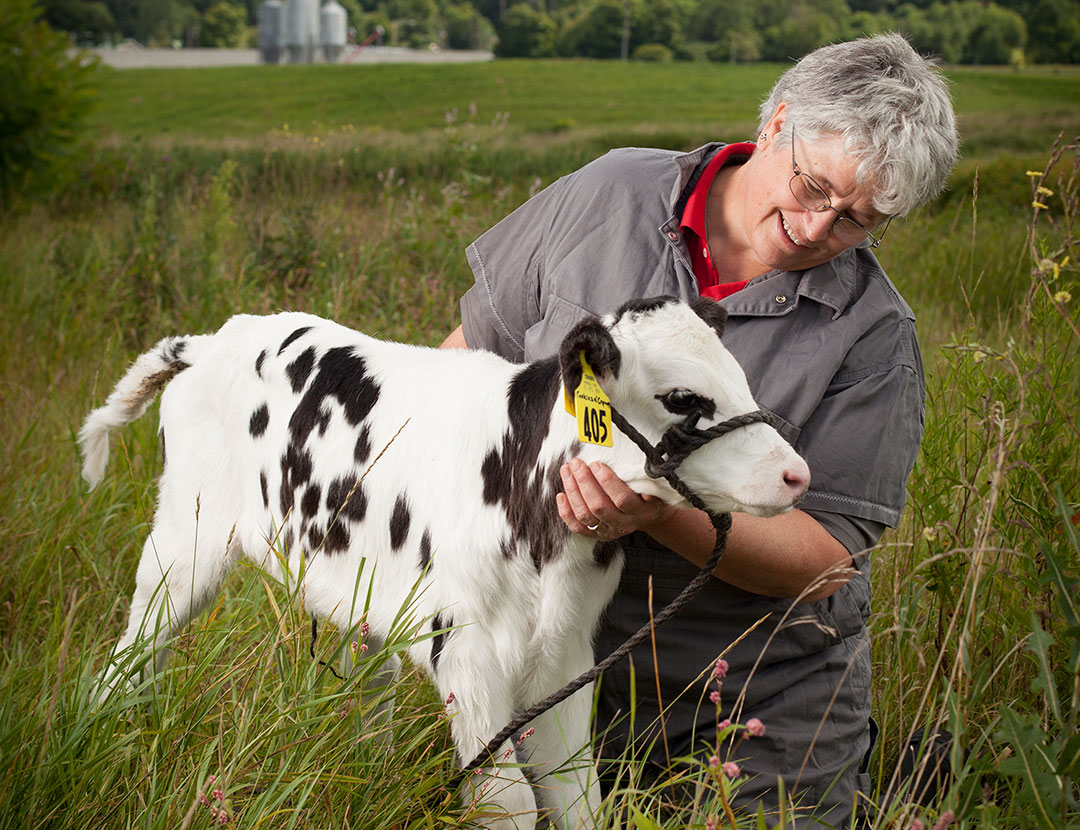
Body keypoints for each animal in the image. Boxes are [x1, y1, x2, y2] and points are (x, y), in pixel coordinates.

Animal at [79, 293, 807, 824]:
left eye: (741, 377)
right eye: (683, 398)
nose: (796, 474)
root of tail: (212, 339)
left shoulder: (565, 651)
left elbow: (577, 795)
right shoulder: (461, 645)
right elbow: (506, 803)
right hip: (184, 542)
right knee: (134, 651)